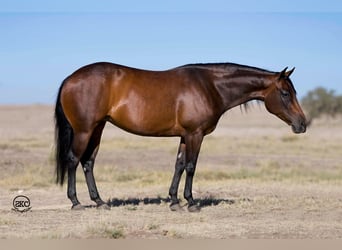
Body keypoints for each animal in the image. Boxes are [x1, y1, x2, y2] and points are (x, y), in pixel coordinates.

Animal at [54, 62, 306, 211]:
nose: (302, 124)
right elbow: (192, 166)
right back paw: (76, 202)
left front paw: (175, 201)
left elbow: (179, 165)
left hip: (97, 129)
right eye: (285, 93)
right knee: (73, 160)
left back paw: (99, 201)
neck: (210, 86)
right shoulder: (195, 134)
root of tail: (70, 78)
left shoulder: (185, 136)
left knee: (88, 162)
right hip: (84, 130)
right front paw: (191, 202)